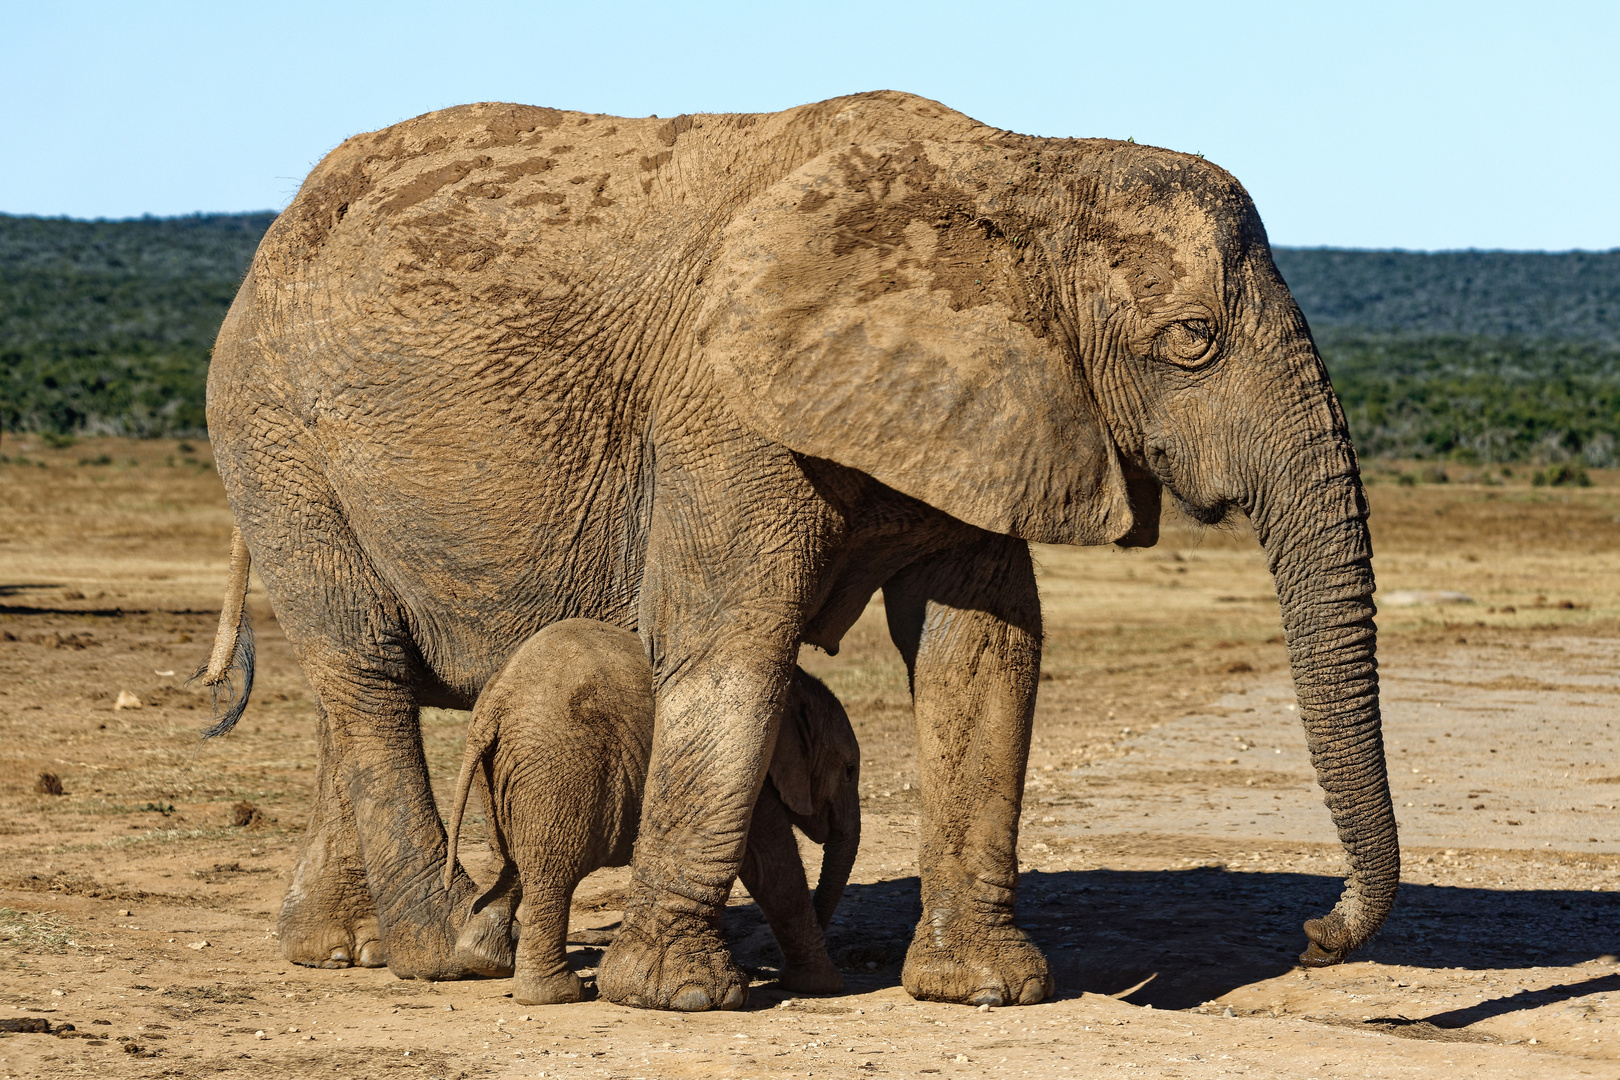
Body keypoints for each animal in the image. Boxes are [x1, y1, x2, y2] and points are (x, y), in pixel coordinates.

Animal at [443, 621, 861, 1010]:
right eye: (849, 771)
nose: (765, 962)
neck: (796, 688)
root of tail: (494, 705)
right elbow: (772, 865)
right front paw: (823, 986)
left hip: (504, 773)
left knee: (508, 859)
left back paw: (483, 961)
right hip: (561, 770)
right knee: (551, 871)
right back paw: (558, 996)